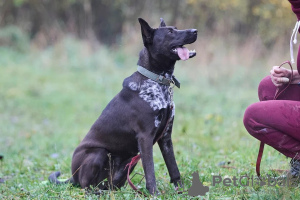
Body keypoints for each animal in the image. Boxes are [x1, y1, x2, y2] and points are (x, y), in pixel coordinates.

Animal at [49, 18, 197, 195]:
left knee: (109, 186)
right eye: (170, 32)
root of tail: (72, 176)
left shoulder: (166, 137)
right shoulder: (145, 138)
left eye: (175, 28)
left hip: (128, 163)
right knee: (86, 186)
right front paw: (154, 193)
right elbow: (150, 171)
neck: (156, 80)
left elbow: (174, 168)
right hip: (99, 153)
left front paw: (181, 190)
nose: (195, 31)